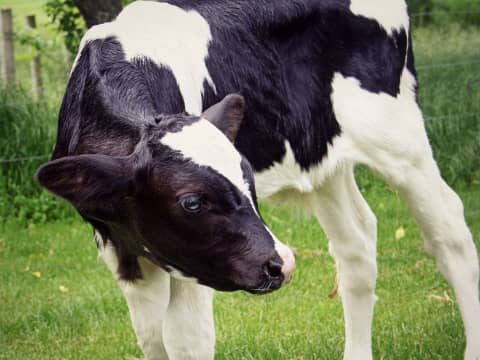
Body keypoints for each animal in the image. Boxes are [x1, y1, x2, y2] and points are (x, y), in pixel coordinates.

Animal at [35, 0, 478, 360]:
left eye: (248, 180)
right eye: (191, 202)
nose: (282, 263)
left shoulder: (194, 264)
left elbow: (185, 340)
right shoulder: (119, 246)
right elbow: (151, 338)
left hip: (398, 137)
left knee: (450, 232)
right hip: (320, 160)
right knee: (356, 243)